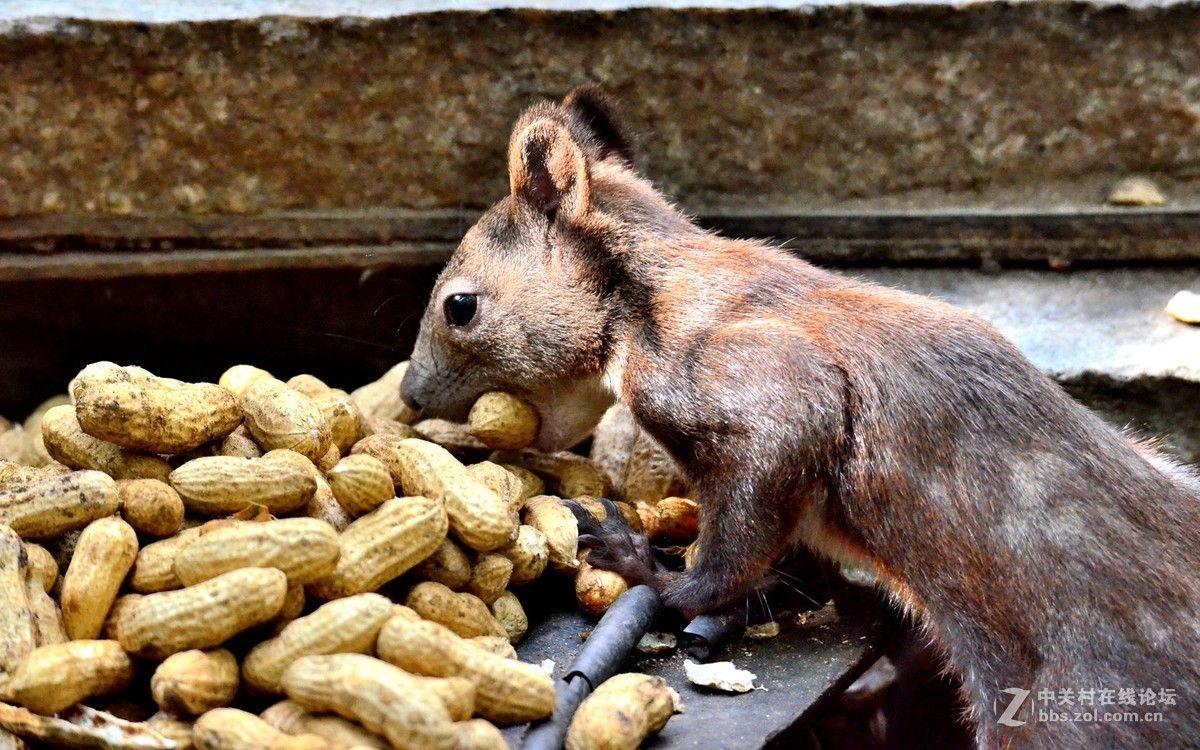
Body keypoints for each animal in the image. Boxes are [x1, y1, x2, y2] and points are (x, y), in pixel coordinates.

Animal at [400, 86, 1200, 744]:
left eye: (459, 305)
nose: (408, 397)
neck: (649, 307)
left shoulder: (779, 400)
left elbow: (722, 561)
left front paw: (639, 563)